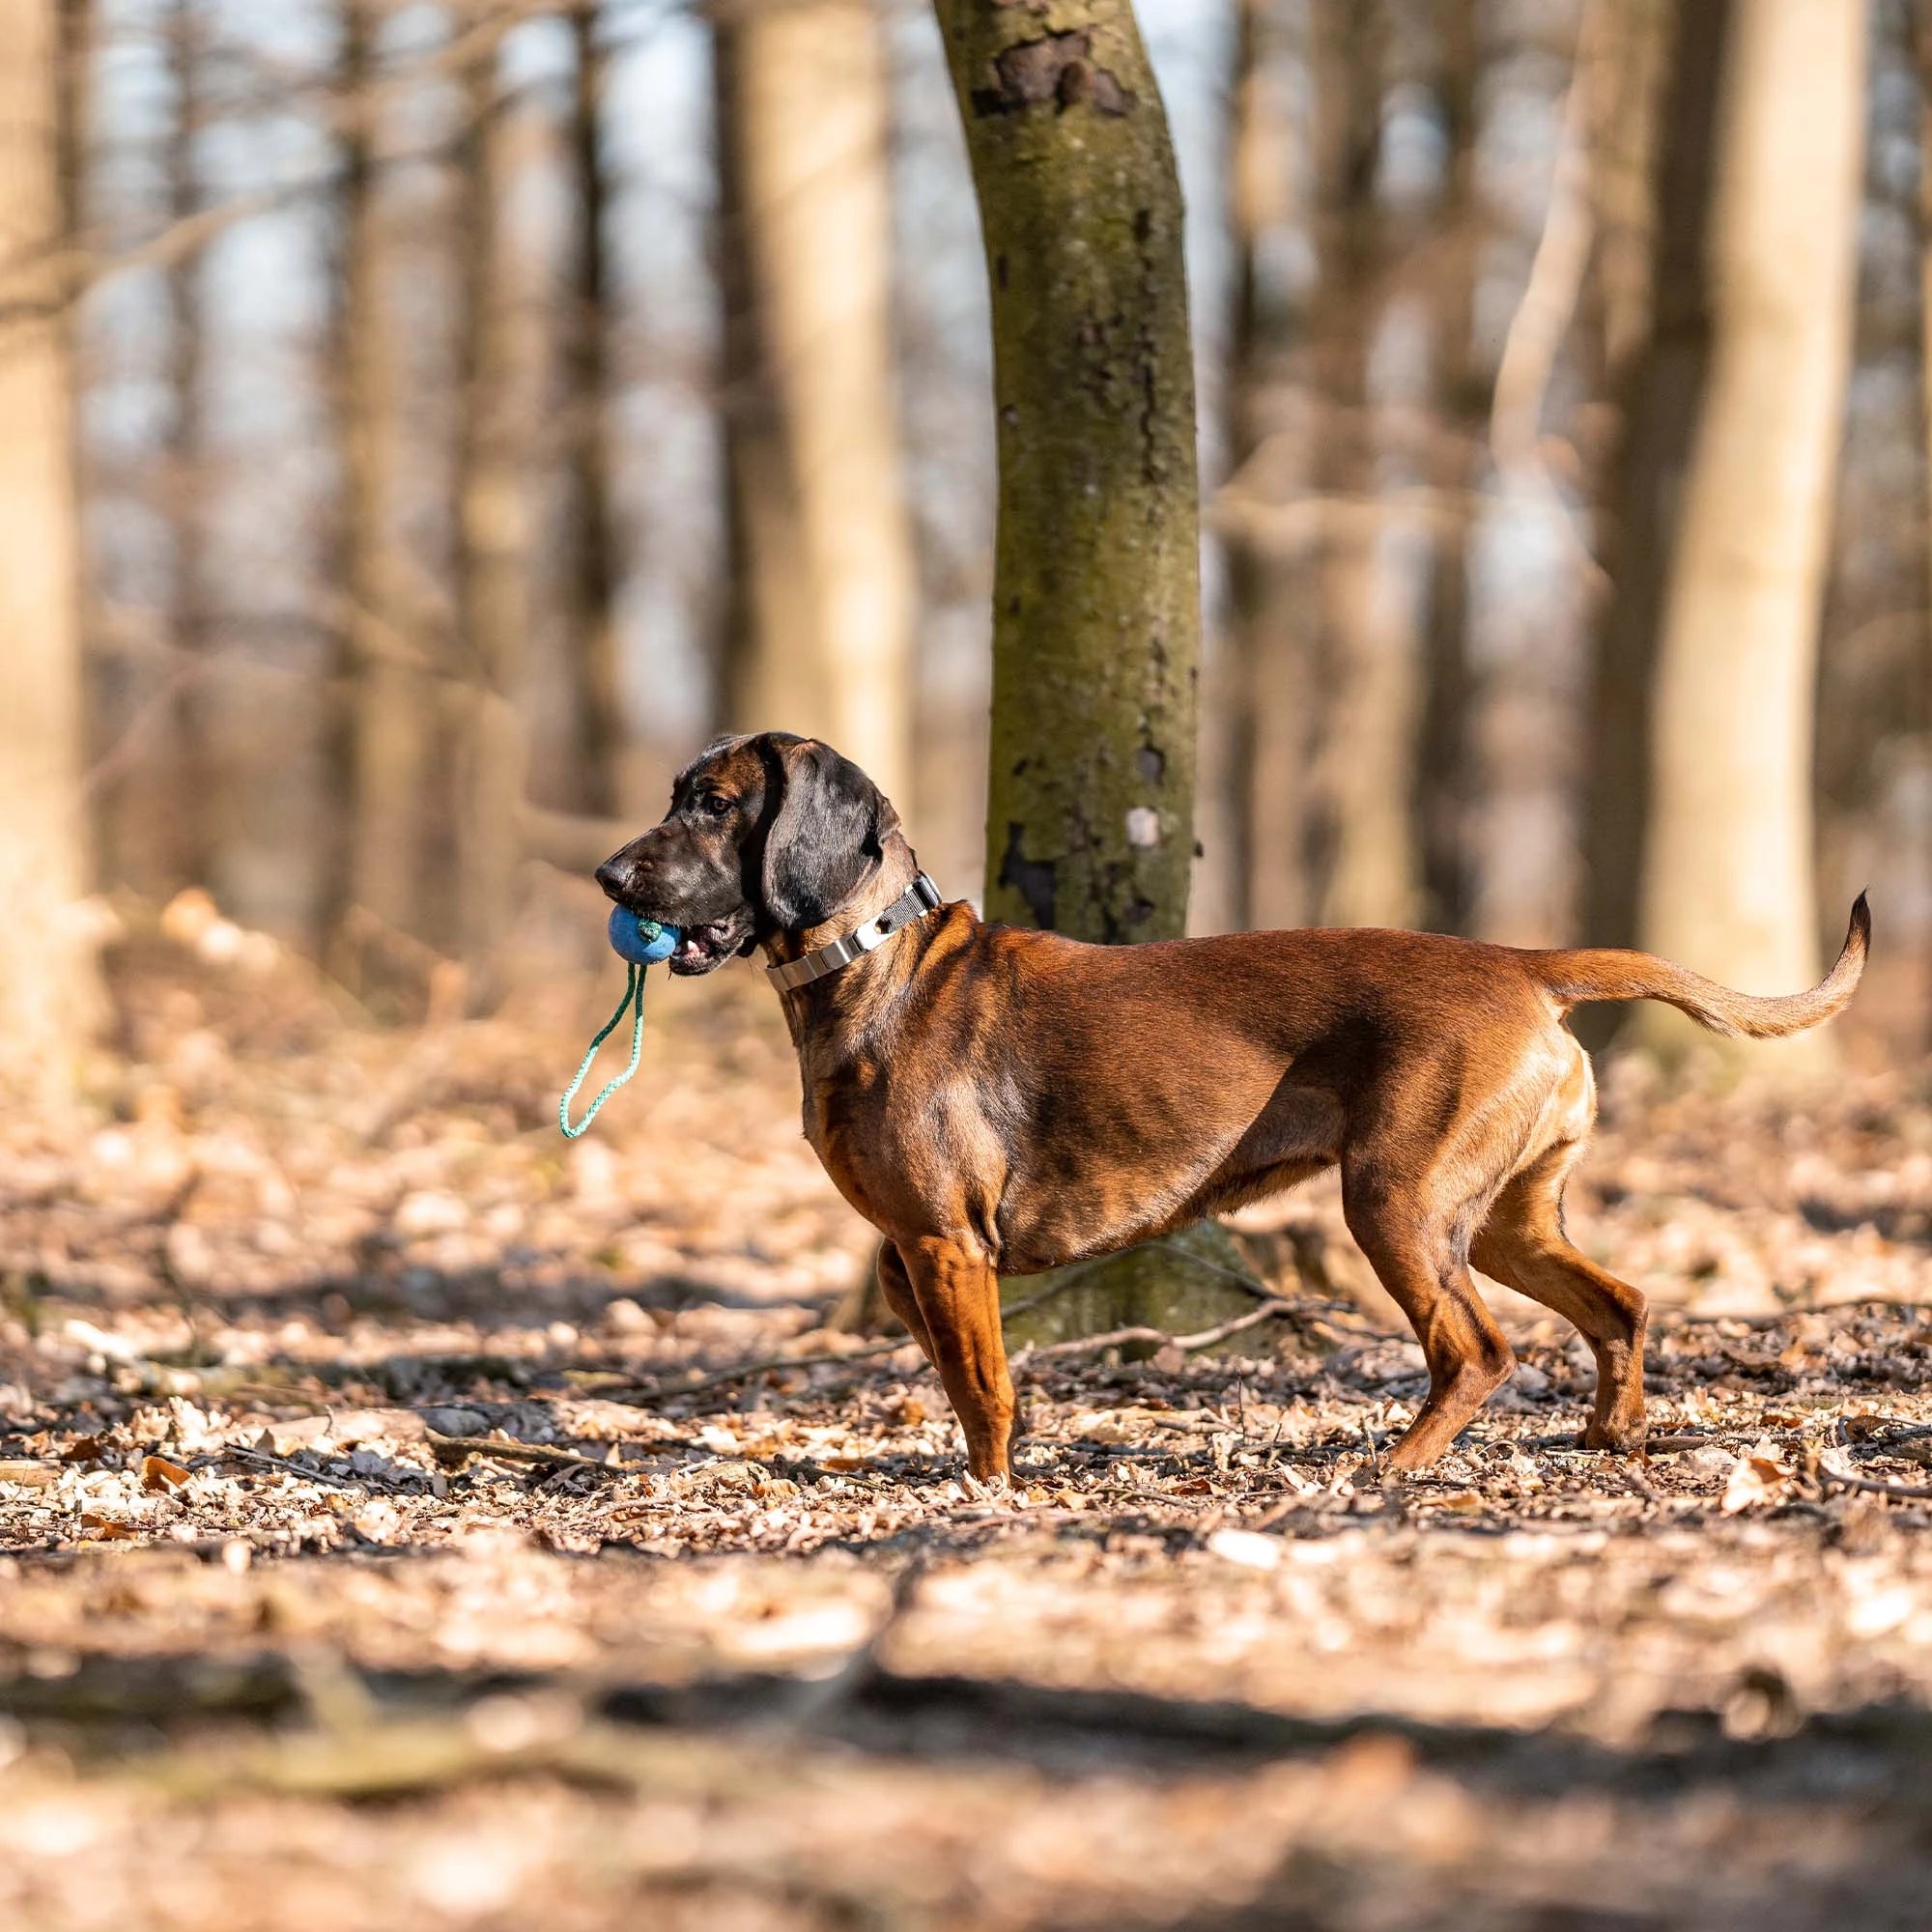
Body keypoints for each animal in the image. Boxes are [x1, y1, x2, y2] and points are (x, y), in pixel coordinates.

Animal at [599, 730, 1870, 1484]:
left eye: (711, 804)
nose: (608, 875)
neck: (874, 965)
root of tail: (1525, 965)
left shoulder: (944, 1242)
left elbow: (984, 1387)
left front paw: (990, 1491)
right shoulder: (908, 1252)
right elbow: (957, 1371)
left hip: (1396, 1203)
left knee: (1477, 1347)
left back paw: (1393, 1467)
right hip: (1508, 1217)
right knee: (1618, 1301)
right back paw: (1611, 1434)